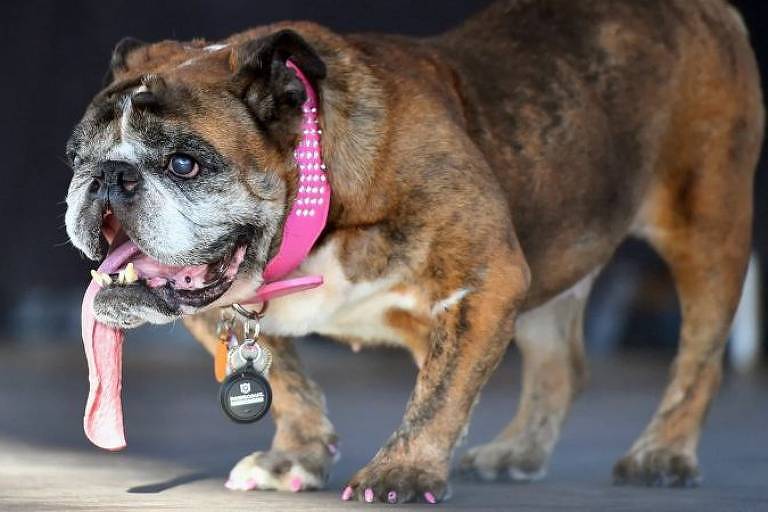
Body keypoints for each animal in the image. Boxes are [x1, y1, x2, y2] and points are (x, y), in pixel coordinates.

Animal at [64, 0, 760, 504]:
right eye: (77, 158)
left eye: (183, 163)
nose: (109, 177)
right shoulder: (219, 313)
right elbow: (284, 380)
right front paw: (295, 457)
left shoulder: (487, 278)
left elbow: (438, 394)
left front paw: (402, 471)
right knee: (561, 365)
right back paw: (519, 451)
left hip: (707, 230)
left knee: (698, 358)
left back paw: (662, 453)